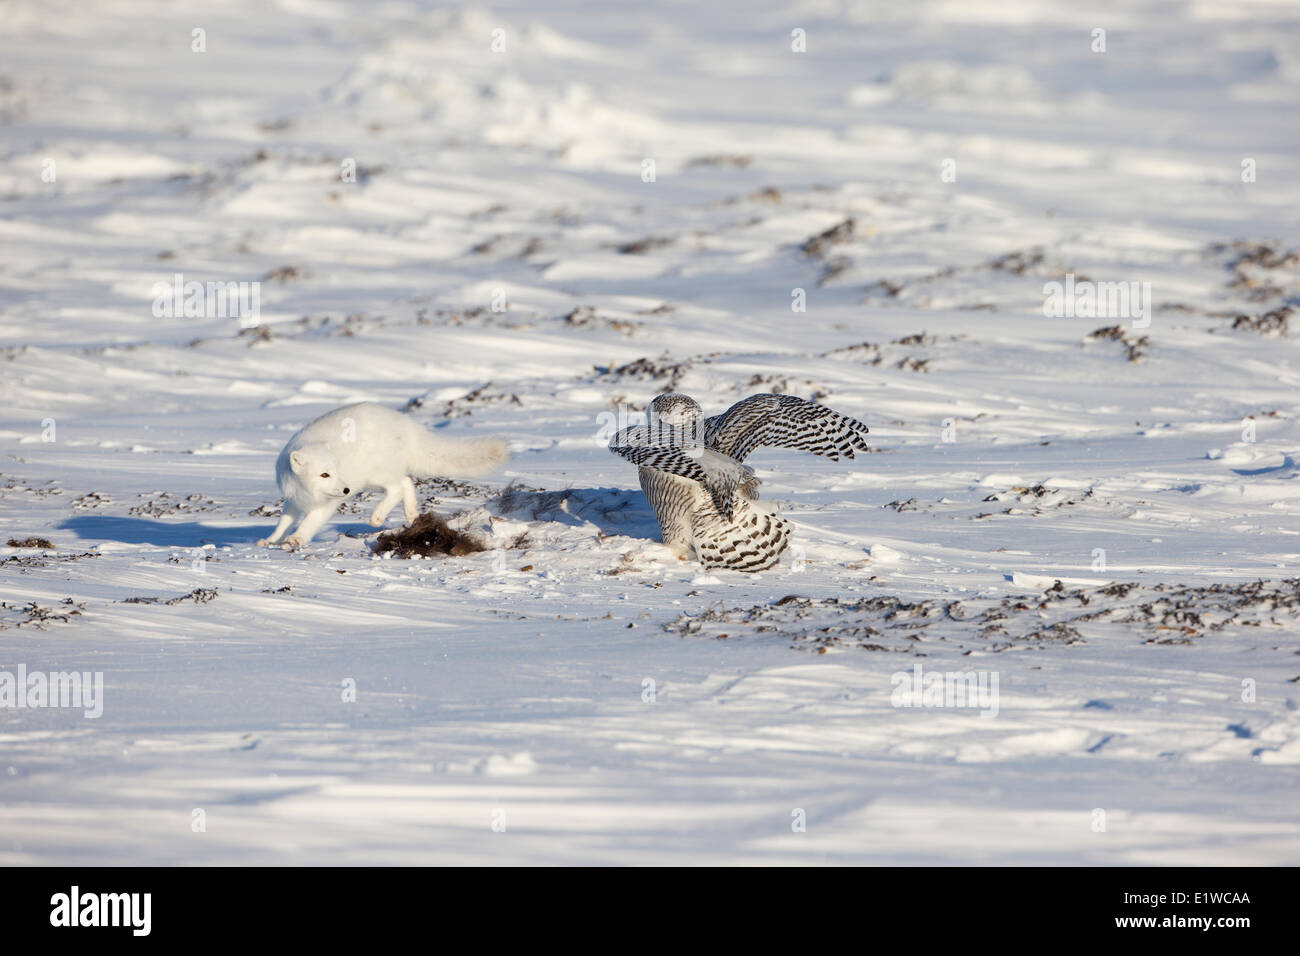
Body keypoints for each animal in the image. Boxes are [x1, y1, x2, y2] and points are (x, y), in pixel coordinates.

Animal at [258, 402, 510, 549]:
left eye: (336, 471)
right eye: (324, 474)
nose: (346, 489)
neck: (308, 492)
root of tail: (406, 424)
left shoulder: (328, 504)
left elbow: (310, 522)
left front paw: (297, 538)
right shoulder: (293, 499)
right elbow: (283, 523)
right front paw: (271, 540)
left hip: (374, 475)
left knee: (398, 487)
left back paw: (378, 517)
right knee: (406, 483)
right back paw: (412, 515)